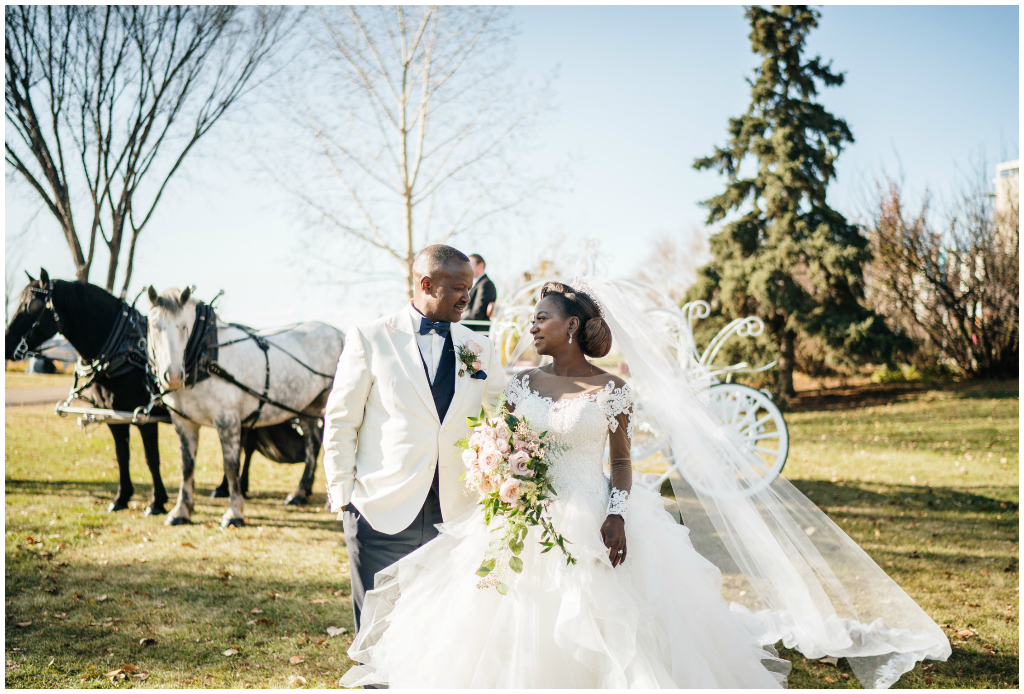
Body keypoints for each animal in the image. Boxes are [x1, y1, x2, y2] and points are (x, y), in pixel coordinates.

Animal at [4, 272, 323, 515]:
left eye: (32, 307)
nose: (7, 344)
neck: (123, 349)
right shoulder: (114, 416)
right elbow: (123, 456)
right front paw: (122, 498)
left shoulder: (144, 417)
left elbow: (151, 458)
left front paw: (157, 502)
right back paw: (235, 487)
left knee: (258, 443)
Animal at [146, 286, 344, 528]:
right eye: (154, 326)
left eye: (183, 327)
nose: (173, 376)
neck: (205, 355)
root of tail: (340, 334)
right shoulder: (183, 422)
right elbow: (187, 466)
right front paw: (182, 510)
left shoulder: (227, 420)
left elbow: (231, 465)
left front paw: (234, 512)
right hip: (307, 405)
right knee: (313, 444)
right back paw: (299, 493)